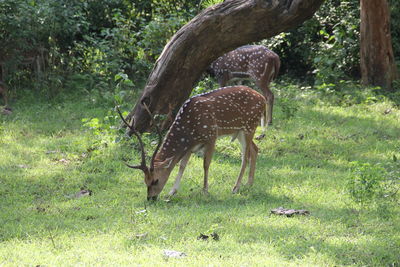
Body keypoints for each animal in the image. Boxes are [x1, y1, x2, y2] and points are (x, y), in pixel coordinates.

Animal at [120, 86, 268, 201]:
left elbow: (206, 164)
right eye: (145, 181)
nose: (150, 198)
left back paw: (236, 188)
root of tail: (263, 99)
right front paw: (171, 192)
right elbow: (182, 165)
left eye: (155, 180)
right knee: (255, 149)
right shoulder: (190, 146)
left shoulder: (211, 136)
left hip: (249, 126)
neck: (189, 132)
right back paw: (248, 184)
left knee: (245, 156)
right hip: (240, 131)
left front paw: (205, 191)